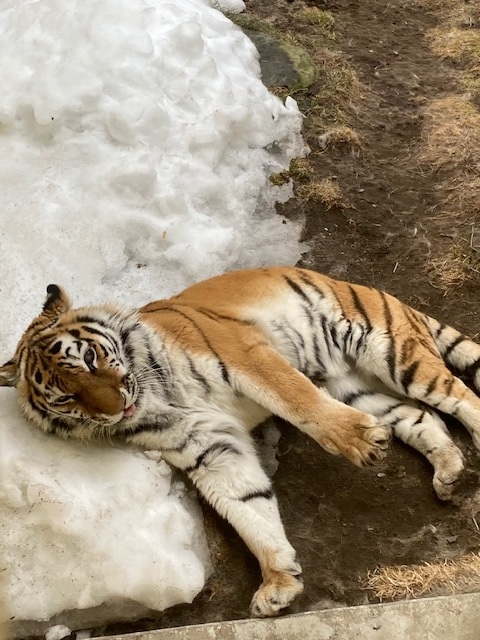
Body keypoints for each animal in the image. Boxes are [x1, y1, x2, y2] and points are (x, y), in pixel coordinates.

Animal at [0, 264, 480, 616]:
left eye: (89, 357)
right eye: (66, 396)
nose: (115, 407)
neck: (151, 395)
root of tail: (359, 286)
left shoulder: (245, 352)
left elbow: (298, 401)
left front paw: (356, 440)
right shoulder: (207, 447)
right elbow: (248, 510)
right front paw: (279, 582)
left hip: (389, 350)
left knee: (460, 395)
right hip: (354, 386)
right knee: (421, 415)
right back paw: (448, 472)